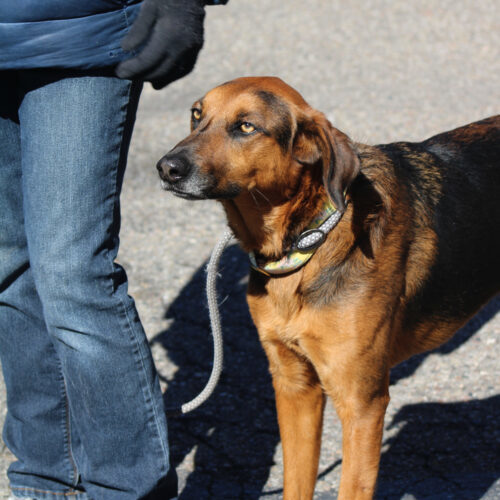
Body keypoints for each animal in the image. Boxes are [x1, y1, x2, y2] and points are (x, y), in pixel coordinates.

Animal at [156, 76, 500, 498]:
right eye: (195, 114)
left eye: (246, 127)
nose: (166, 167)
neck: (308, 238)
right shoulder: (294, 385)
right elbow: (296, 481)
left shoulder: (362, 403)